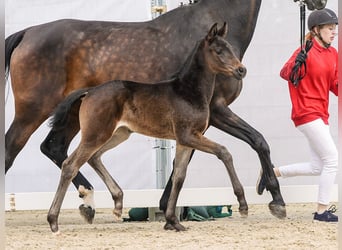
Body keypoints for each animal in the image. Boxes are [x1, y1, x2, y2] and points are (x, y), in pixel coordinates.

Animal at [48, 23, 246, 232]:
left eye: (231, 48)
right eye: (218, 51)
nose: (241, 70)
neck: (188, 91)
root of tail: (90, 91)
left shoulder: (184, 140)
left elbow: (179, 177)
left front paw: (172, 221)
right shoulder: (189, 135)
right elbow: (224, 152)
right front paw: (243, 204)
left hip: (119, 134)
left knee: (94, 157)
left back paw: (118, 203)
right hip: (95, 135)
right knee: (70, 165)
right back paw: (53, 221)